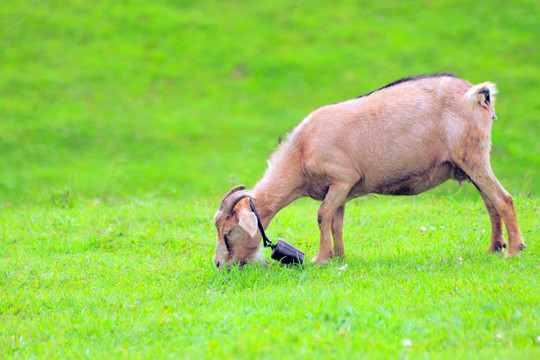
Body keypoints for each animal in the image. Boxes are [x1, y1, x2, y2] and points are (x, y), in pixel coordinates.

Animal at [213, 74, 524, 268]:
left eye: (227, 233)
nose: (218, 264)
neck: (301, 151)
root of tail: (479, 94)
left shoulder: (342, 178)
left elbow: (322, 215)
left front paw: (319, 259)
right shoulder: (340, 189)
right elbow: (336, 221)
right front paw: (338, 257)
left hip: (473, 157)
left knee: (503, 199)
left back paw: (513, 251)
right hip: (467, 165)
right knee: (490, 202)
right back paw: (494, 247)